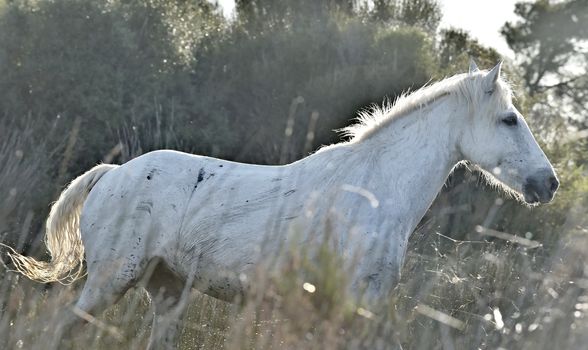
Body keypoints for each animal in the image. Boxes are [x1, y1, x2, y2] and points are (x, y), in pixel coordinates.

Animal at [2, 61, 560, 348]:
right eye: (509, 119)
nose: (548, 184)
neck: (373, 190)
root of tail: (111, 174)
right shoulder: (354, 304)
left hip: (167, 289)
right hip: (110, 281)